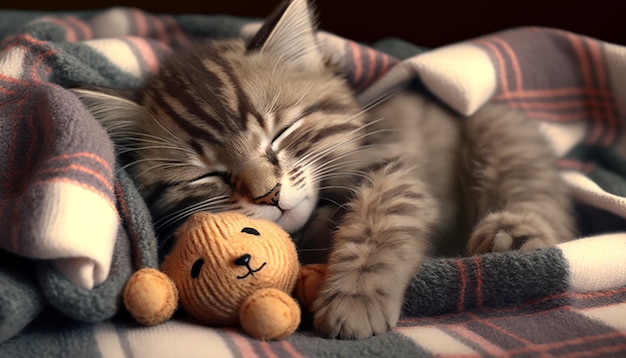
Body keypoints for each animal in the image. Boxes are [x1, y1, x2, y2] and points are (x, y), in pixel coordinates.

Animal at [74, 0, 576, 338]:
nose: (269, 194)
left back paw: (513, 232)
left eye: (280, 132)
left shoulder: (394, 164)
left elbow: (377, 225)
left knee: (530, 183)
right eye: (205, 175)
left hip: (498, 127)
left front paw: (354, 298)